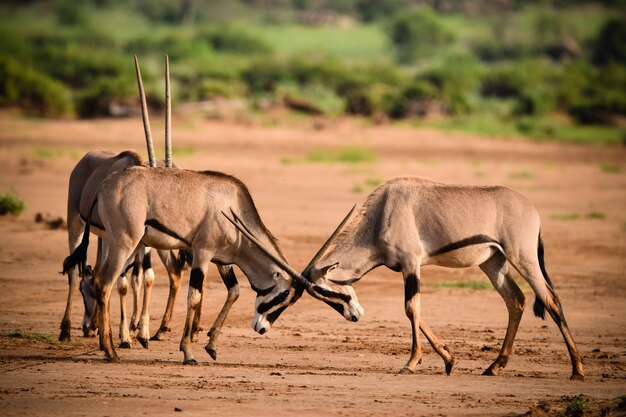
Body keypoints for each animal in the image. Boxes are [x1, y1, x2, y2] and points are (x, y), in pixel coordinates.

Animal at [232, 177, 584, 378]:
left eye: (322, 291)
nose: (355, 316)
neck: (381, 214)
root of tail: (531, 209)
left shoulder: (411, 263)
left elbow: (411, 309)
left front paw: (411, 363)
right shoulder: (407, 267)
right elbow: (417, 312)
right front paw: (448, 360)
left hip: (521, 257)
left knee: (551, 299)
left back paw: (577, 370)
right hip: (493, 262)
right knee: (517, 300)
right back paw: (494, 366)